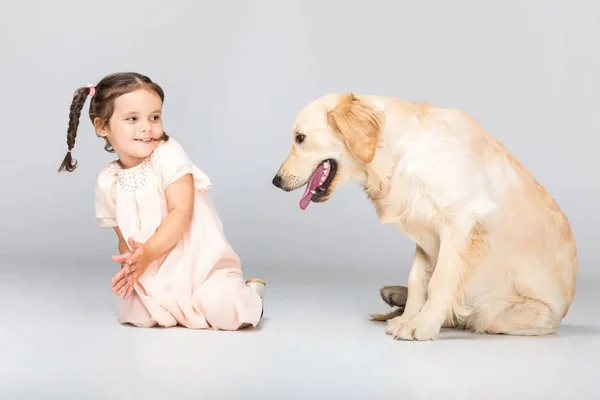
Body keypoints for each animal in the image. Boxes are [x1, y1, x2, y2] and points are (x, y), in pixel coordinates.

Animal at [270, 93, 576, 340]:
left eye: (300, 138)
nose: (276, 181)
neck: (399, 156)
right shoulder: (423, 231)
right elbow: (418, 280)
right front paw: (408, 317)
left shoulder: (460, 223)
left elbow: (440, 281)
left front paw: (422, 325)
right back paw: (395, 295)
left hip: (505, 313)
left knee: (476, 317)